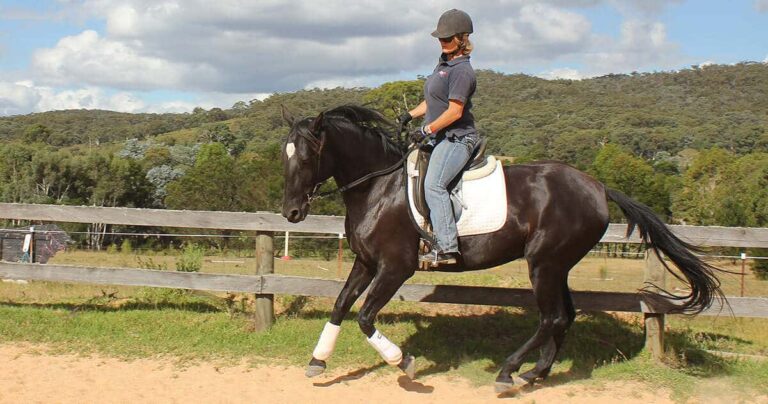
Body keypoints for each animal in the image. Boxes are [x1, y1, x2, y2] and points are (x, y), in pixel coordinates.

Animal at [279, 104, 724, 393]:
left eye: (308, 155)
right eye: (285, 155)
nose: (291, 212)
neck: (378, 188)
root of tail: (598, 188)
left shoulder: (395, 267)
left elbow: (365, 317)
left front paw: (402, 361)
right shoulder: (366, 262)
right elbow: (341, 306)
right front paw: (317, 361)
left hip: (543, 264)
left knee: (550, 317)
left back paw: (509, 373)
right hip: (557, 266)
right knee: (564, 317)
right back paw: (534, 375)